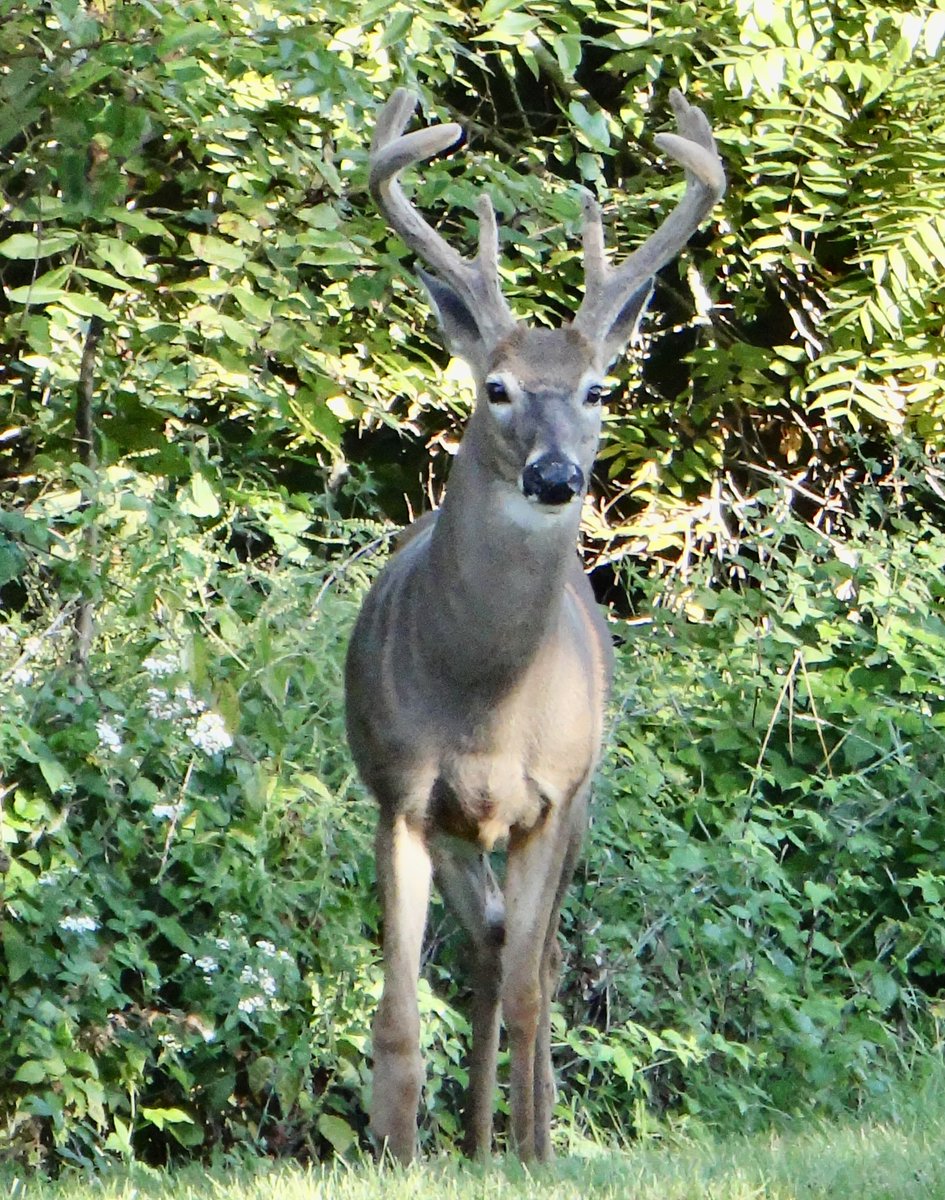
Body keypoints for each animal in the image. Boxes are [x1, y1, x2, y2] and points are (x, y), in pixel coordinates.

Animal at [344, 86, 725, 1164]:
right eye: (497, 387)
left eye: (598, 389)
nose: (555, 475)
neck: (484, 700)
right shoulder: (400, 795)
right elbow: (397, 1011)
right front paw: (398, 1152)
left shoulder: (553, 798)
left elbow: (528, 991)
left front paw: (535, 1151)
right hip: (459, 831)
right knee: (485, 945)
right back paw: (470, 1143)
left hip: (583, 798)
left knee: (534, 962)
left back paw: (522, 1135)